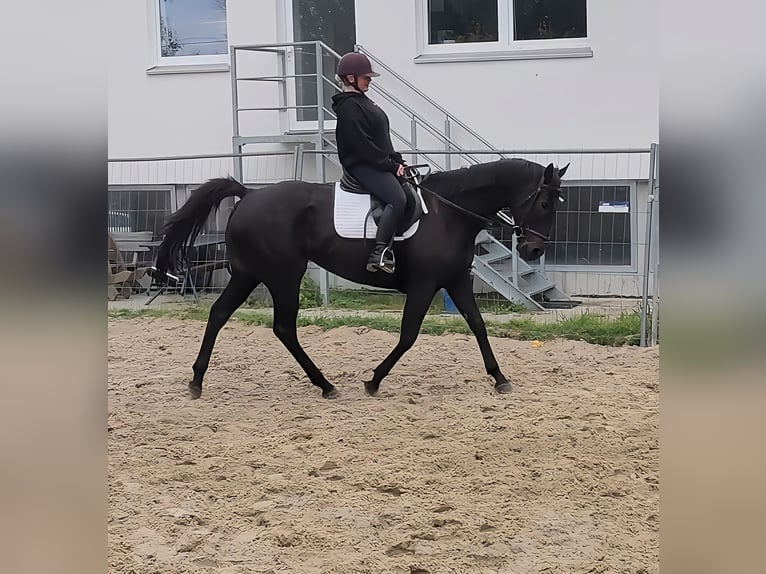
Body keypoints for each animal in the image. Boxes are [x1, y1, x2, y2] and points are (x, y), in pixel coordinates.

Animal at [154, 158, 568, 399]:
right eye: (545, 202)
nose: (534, 250)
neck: (448, 214)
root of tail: (248, 195)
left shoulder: (455, 281)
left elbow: (479, 326)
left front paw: (499, 378)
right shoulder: (424, 285)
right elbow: (408, 335)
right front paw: (374, 380)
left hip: (248, 274)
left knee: (219, 315)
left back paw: (197, 380)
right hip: (283, 275)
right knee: (283, 327)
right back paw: (324, 384)